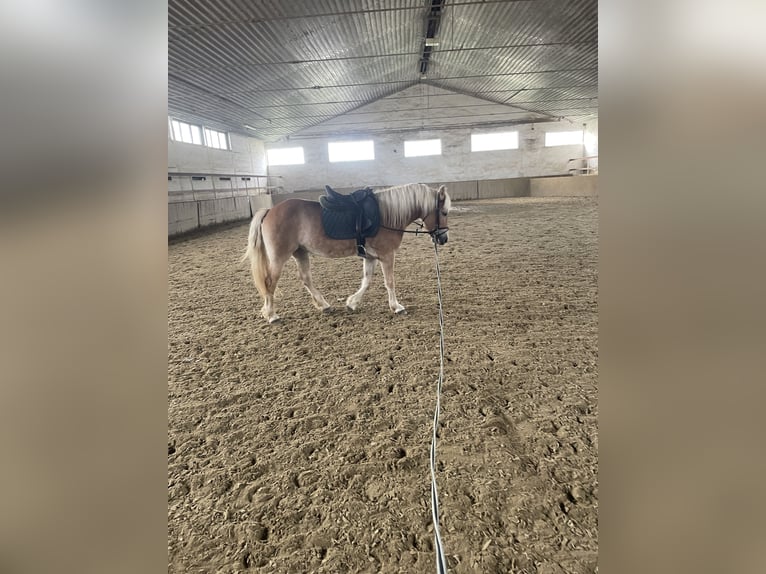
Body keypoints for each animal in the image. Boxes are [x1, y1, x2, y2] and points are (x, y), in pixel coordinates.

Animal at [243, 183, 452, 324]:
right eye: (444, 212)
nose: (443, 239)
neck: (385, 215)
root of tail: (270, 210)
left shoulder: (370, 257)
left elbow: (366, 281)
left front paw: (352, 303)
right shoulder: (386, 255)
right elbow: (389, 282)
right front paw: (396, 307)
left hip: (300, 252)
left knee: (305, 279)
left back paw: (324, 305)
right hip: (279, 257)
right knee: (270, 282)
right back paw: (272, 315)